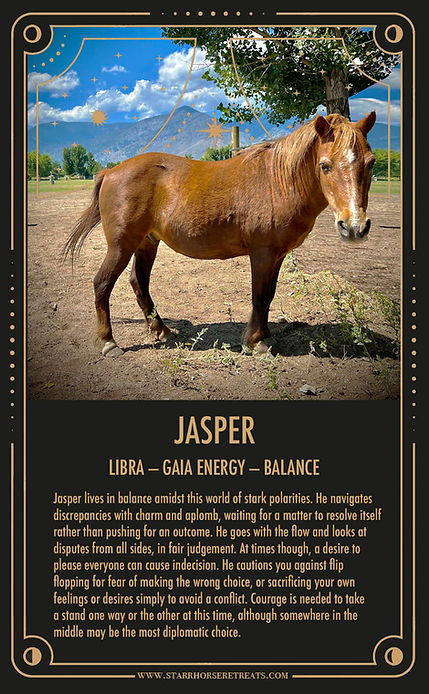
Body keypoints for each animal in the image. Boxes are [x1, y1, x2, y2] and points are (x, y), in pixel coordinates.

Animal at [63, 111, 376, 357]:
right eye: (325, 165)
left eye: (371, 162)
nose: (354, 226)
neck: (278, 182)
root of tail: (110, 172)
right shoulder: (262, 253)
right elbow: (259, 295)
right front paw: (255, 342)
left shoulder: (277, 255)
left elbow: (269, 295)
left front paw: (265, 336)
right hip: (121, 245)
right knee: (102, 284)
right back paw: (108, 342)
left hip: (146, 243)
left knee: (139, 283)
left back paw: (162, 330)